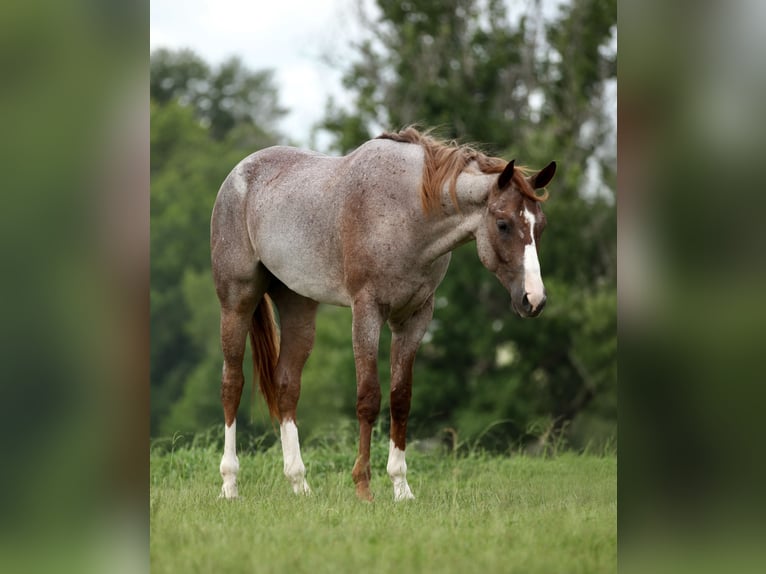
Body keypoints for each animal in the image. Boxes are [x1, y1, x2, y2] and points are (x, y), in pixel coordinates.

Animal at [210, 127, 556, 501]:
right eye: (503, 224)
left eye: (540, 226)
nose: (533, 299)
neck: (407, 212)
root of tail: (239, 174)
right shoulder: (367, 311)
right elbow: (369, 397)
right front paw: (363, 486)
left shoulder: (415, 317)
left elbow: (400, 398)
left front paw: (401, 487)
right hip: (236, 302)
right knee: (232, 383)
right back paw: (229, 484)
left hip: (298, 306)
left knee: (287, 386)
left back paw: (299, 483)